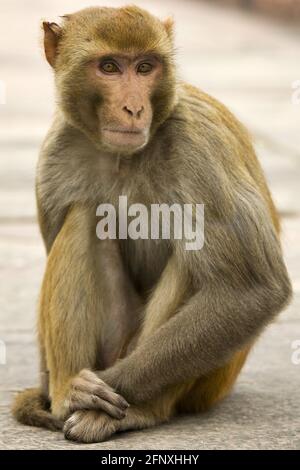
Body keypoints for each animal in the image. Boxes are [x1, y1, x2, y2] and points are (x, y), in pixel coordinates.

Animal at [11, 5, 290, 442]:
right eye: (109, 67)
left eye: (145, 67)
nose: (134, 108)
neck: (123, 156)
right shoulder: (56, 151)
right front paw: (65, 391)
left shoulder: (199, 145)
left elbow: (250, 289)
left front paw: (102, 391)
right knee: (84, 216)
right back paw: (66, 390)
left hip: (206, 383)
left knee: (194, 252)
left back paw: (135, 410)